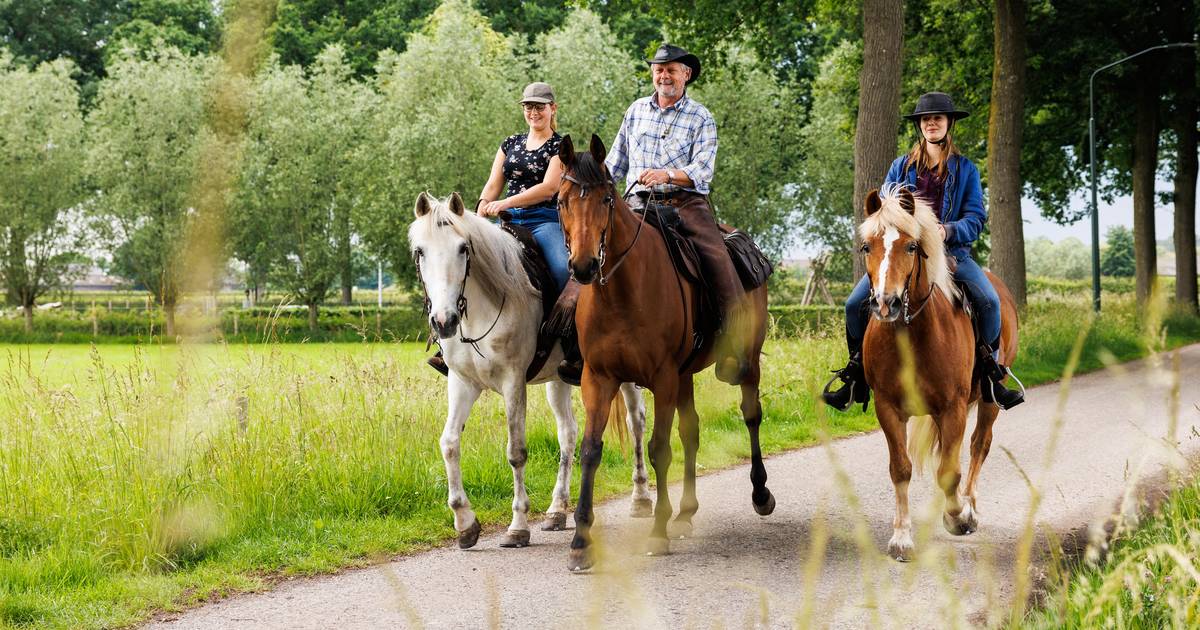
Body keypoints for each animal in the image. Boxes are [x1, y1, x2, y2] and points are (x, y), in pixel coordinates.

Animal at [409, 191, 650, 549]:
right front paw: (465, 523)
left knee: (636, 423)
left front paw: (518, 526)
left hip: (625, 375)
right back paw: (556, 511)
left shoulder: (513, 382)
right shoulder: (462, 382)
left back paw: (641, 497)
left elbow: (516, 452)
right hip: (557, 381)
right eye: (420, 251)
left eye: (463, 248)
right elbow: (449, 443)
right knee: (568, 434)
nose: (443, 321)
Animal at [555, 134, 776, 571]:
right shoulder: (598, 378)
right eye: (562, 200)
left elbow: (659, 449)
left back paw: (760, 494)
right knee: (692, 432)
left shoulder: (662, 378)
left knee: (751, 415)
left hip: (744, 363)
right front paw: (581, 540)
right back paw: (686, 512)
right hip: (685, 375)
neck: (621, 292)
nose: (583, 266)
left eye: (606, 199)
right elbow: (591, 450)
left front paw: (657, 530)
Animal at [857, 186, 1019, 561]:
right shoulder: (888, 408)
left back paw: (969, 505)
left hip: (989, 397)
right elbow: (901, 468)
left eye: (911, 247)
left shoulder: (953, 408)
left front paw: (958, 517)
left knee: (978, 445)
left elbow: (949, 471)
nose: (885, 304)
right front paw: (901, 538)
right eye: (867, 246)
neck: (910, 332)